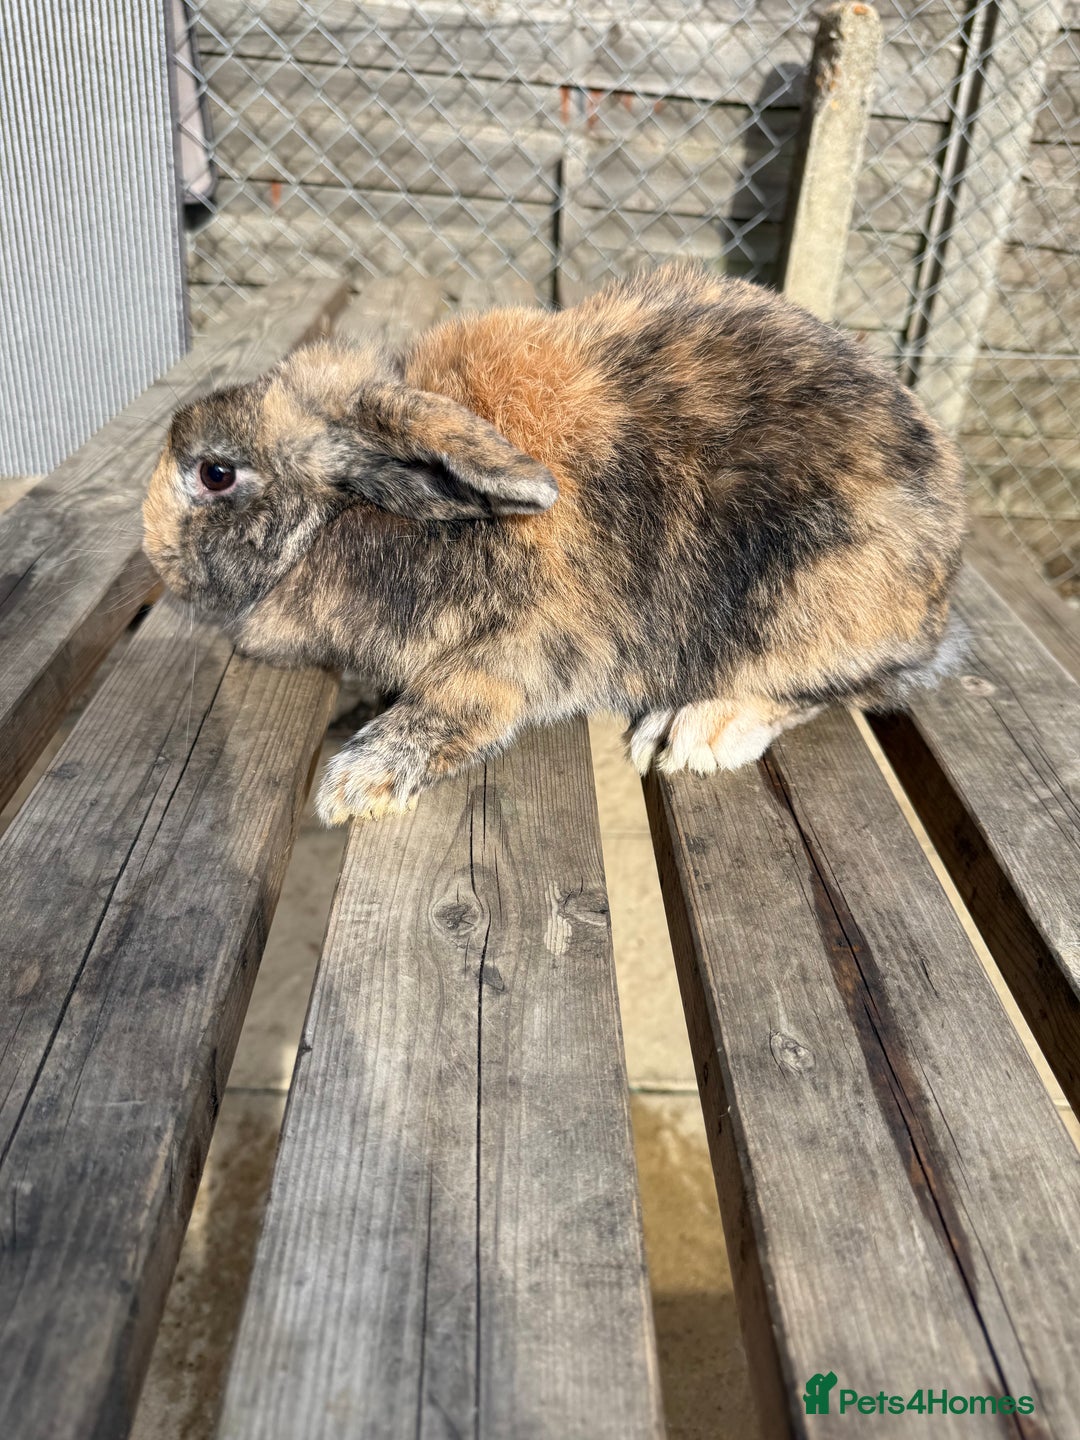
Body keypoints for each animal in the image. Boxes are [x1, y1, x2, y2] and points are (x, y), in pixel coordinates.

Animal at [144, 261, 965, 826]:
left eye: (215, 473)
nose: (153, 553)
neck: (364, 514)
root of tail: (942, 582)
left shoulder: (517, 656)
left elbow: (455, 706)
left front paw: (356, 784)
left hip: (805, 605)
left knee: (837, 687)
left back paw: (694, 732)